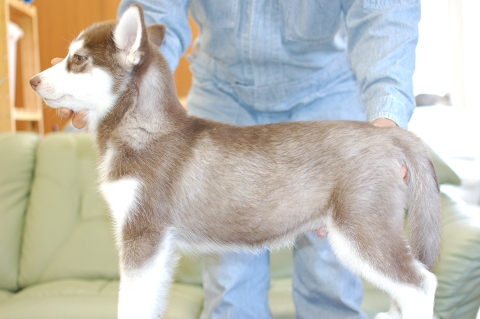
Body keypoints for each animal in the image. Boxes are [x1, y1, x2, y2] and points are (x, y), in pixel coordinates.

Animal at [30, 4, 442, 319]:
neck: (144, 129)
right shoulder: (160, 248)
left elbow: (130, 305)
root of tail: (387, 135)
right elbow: (151, 302)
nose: (33, 80)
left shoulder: (142, 234)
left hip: (361, 231)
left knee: (421, 284)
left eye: (77, 59)